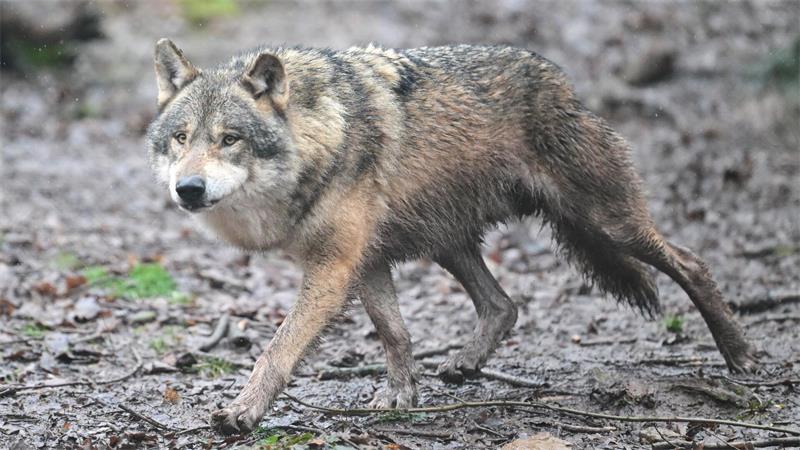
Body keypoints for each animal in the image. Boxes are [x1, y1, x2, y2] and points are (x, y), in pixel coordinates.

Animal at [146, 39, 758, 434]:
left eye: (229, 139)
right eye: (181, 137)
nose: (188, 189)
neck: (320, 137)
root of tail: (563, 82)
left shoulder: (334, 267)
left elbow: (277, 350)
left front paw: (242, 412)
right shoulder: (365, 261)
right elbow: (395, 333)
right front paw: (400, 396)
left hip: (607, 223)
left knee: (691, 261)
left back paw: (740, 356)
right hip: (448, 242)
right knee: (504, 305)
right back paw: (465, 364)